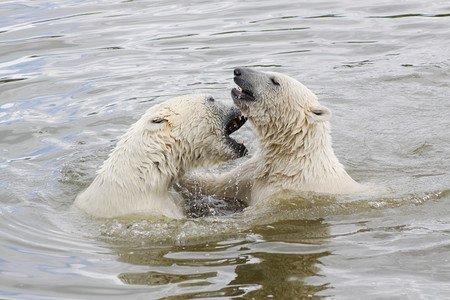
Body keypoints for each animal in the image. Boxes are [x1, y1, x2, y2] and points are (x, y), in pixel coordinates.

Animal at [181, 68, 364, 206]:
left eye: (275, 80)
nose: (237, 71)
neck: (290, 159)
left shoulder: (285, 192)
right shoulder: (253, 172)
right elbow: (215, 184)